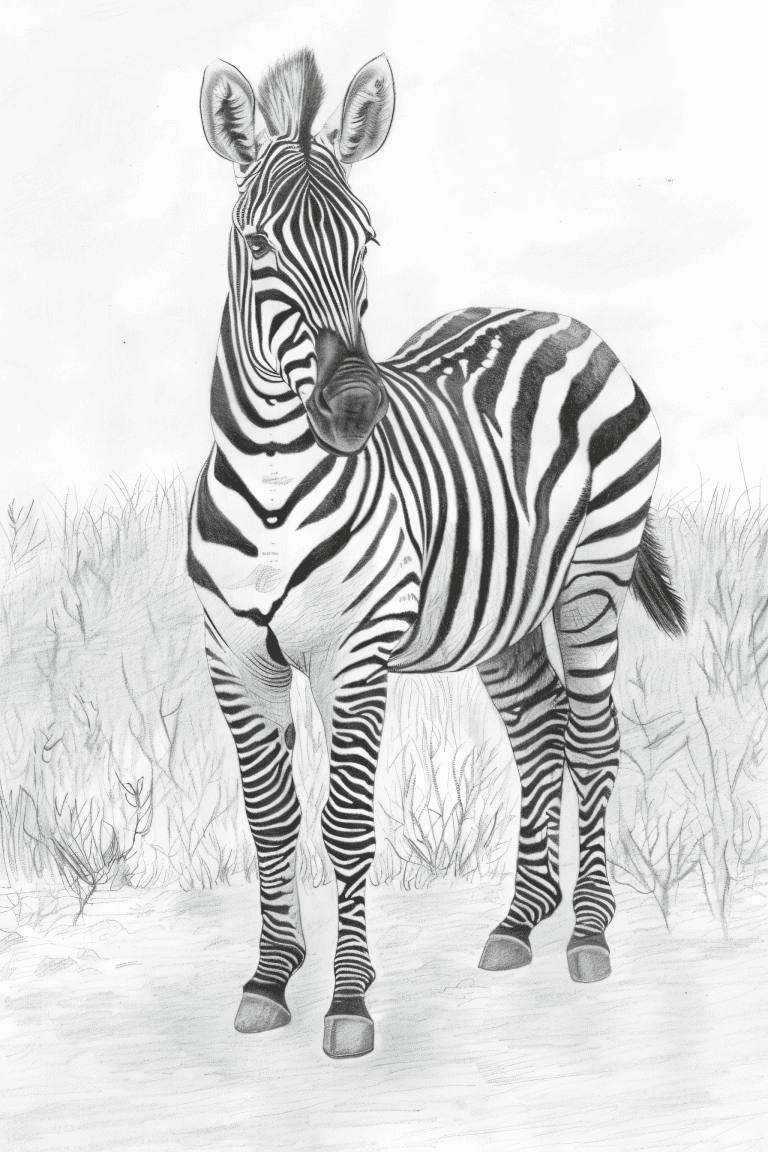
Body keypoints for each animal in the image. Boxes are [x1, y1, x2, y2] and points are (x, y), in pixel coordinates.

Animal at [189, 48, 686, 1060]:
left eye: (365, 243)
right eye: (259, 247)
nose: (353, 409)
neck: (271, 480)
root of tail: (559, 318)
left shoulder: (354, 657)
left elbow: (344, 824)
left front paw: (347, 1003)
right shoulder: (236, 660)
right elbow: (270, 824)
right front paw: (268, 980)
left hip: (591, 583)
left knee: (593, 737)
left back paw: (588, 935)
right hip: (504, 612)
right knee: (538, 733)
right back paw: (518, 922)